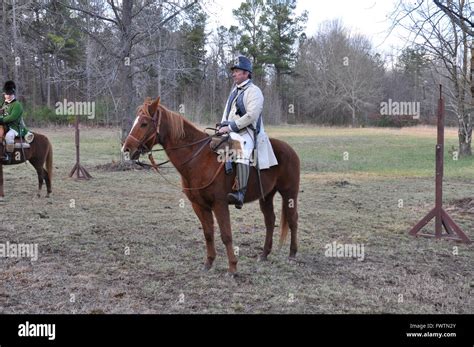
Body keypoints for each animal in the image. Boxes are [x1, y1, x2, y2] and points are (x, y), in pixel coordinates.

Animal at [122, 96, 300, 276]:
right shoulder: (199, 205)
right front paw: (209, 263)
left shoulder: (219, 204)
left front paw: (233, 268)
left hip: (289, 193)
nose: (126, 148)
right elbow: (208, 233)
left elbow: (226, 235)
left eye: (144, 123)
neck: (198, 158)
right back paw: (264, 254)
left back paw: (292, 254)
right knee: (270, 220)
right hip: (266, 196)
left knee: (292, 220)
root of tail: (290, 149)